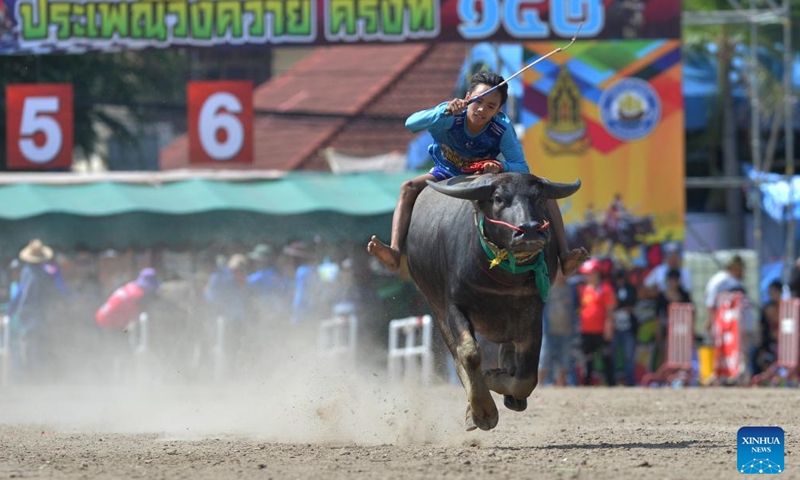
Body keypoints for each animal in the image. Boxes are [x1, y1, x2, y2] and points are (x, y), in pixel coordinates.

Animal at [406, 172, 580, 432]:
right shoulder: (453, 306)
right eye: (498, 198)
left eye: (539, 198)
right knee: (458, 359)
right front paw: (484, 410)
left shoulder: (532, 312)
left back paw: (511, 393)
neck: (502, 279)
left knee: (509, 351)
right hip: (435, 304)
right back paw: (474, 410)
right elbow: (469, 354)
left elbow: (527, 376)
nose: (529, 230)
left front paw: (496, 378)